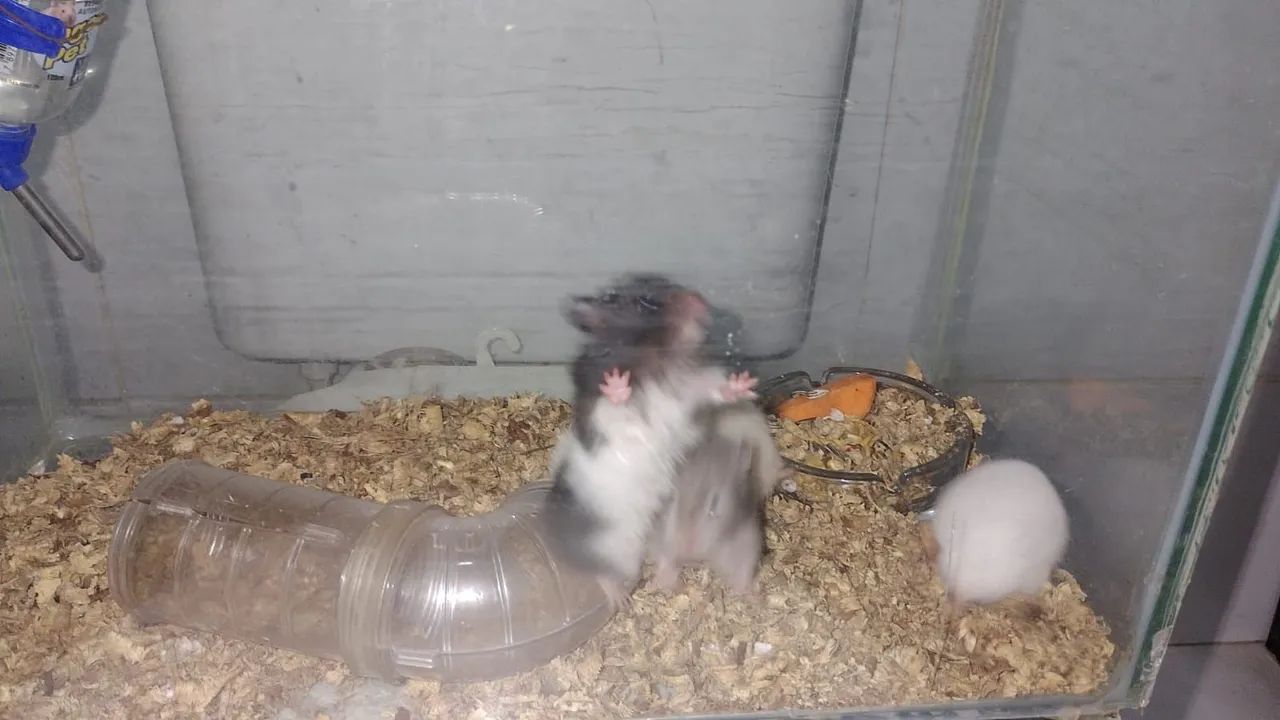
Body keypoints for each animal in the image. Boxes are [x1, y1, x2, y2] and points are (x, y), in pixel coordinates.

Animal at [542, 273, 757, 609]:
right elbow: (614, 404)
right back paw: (619, 600)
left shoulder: (693, 390)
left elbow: (718, 391)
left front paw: (744, 384)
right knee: (598, 572)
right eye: (645, 304)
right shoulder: (605, 409)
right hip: (618, 549)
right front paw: (618, 385)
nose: (699, 300)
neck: (662, 359)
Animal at [649, 401, 786, 594]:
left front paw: (746, 593)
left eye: (715, 504)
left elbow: (744, 566)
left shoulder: (746, 535)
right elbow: (664, 557)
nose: (688, 553)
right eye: (671, 498)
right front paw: (667, 584)